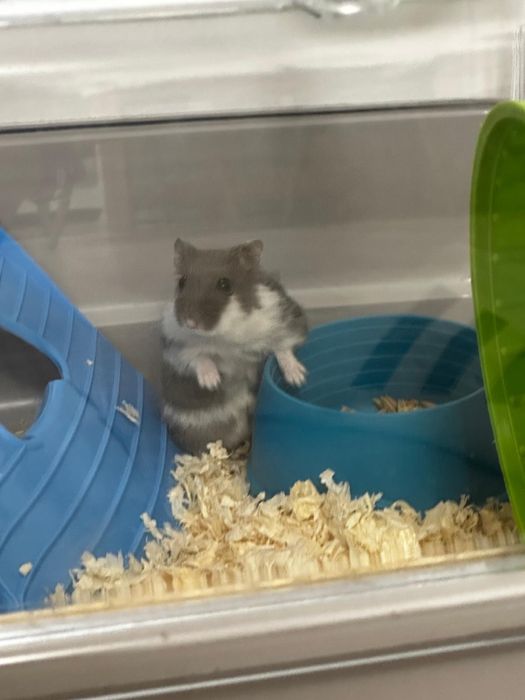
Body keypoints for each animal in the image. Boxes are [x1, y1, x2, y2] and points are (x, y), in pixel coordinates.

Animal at [161, 238, 308, 455]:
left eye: (224, 284)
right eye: (181, 282)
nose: (190, 322)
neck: (225, 333)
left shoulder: (284, 321)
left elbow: (283, 347)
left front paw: (297, 378)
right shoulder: (177, 347)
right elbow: (199, 358)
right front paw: (212, 383)